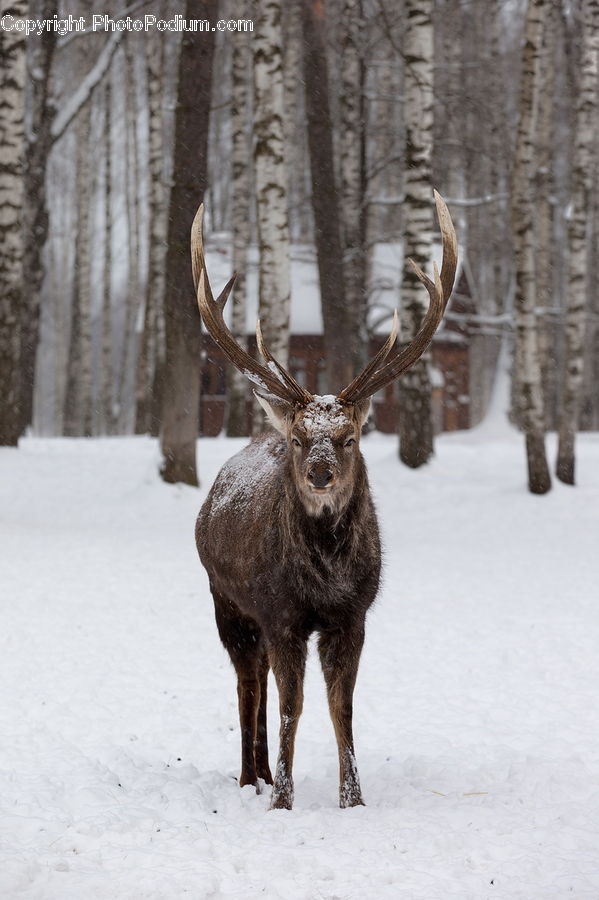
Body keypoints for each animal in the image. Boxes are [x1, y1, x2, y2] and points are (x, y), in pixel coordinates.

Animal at [192, 191, 457, 810]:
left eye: (349, 437)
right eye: (298, 438)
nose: (318, 474)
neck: (325, 580)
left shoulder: (352, 616)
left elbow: (343, 708)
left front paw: (352, 800)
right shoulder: (281, 612)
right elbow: (293, 706)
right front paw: (283, 801)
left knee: (261, 682)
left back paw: (263, 772)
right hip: (226, 602)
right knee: (248, 683)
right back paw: (251, 778)